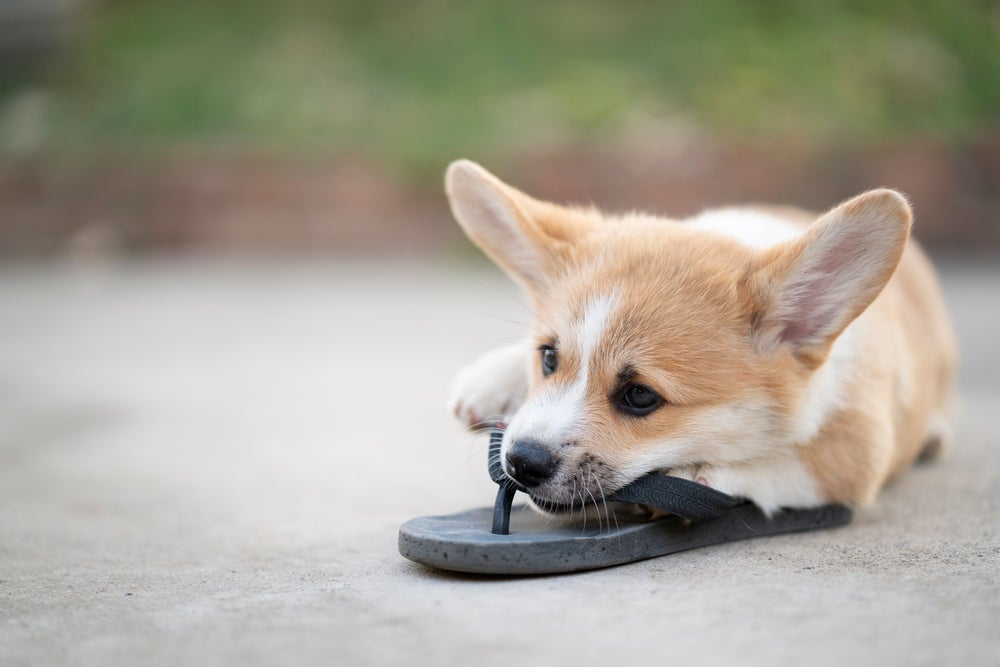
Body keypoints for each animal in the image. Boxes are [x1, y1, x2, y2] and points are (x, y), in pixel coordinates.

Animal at [444, 159, 952, 516]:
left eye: (640, 396)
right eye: (548, 358)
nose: (521, 462)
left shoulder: (857, 448)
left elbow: (779, 467)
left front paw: (694, 473)